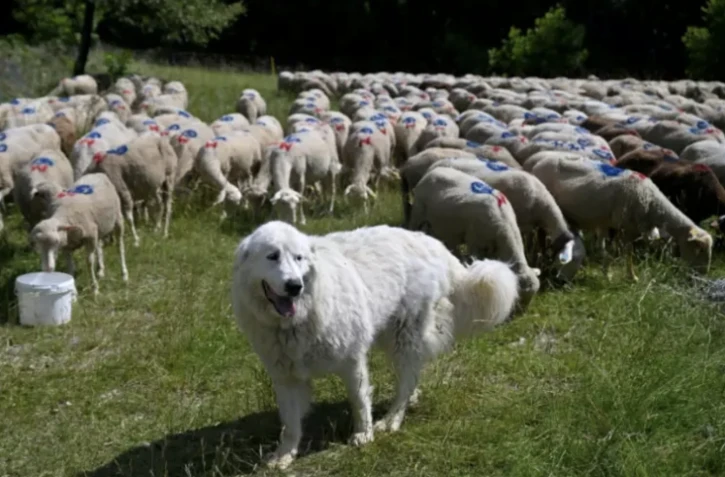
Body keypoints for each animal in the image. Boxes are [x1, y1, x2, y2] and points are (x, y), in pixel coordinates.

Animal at [528, 154, 713, 280]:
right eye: (698, 249)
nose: (702, 275)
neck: (653, 203)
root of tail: (539, 162)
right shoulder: (624, 225)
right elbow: (624, 252)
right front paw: (627, 276)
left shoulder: (611, 223)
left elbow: (607, 249)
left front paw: (610, 273)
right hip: (544, 206)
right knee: (540, 235)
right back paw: (541, 259)